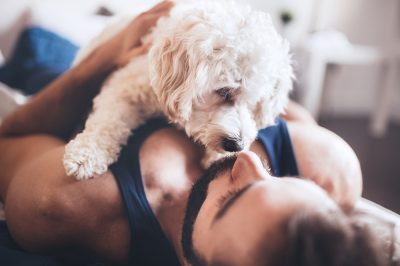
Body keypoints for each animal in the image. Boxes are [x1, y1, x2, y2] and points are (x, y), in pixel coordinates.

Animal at [63, 0, 294, 181]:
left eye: (256, 102)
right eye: (224, 91)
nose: (236, 145)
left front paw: (219, 156)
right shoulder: (124, 87)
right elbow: (107, 122)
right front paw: (87, 154)